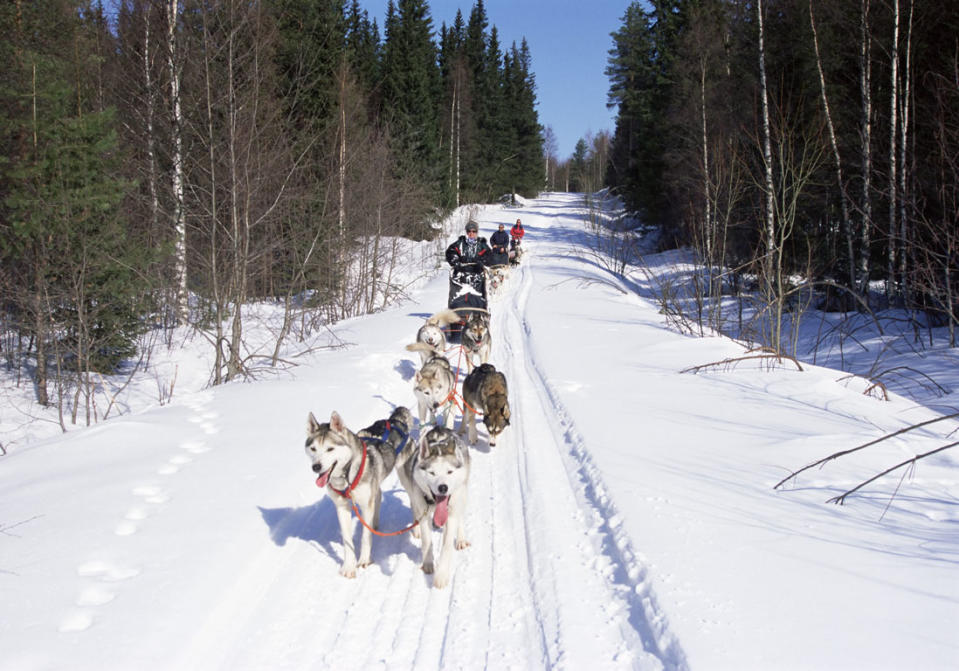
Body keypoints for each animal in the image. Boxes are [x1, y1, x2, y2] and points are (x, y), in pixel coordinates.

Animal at [308, 406, 412, 580]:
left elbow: (365, 536)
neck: (347, 475)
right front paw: (349, 567)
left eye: (330, 449)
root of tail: (394, 420)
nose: (316, 467)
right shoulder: (342, 507)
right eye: (313, 449)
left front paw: (364, 560)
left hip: (405, 476)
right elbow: (347, 540)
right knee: (378, 495)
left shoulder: (364, 505)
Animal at [396, 426, 470, 588]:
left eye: (449, 472)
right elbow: (427, 540)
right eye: (432, 473)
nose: (443, 487)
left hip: (462, 492)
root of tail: (439, 428)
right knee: (414, 507)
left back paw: (461, 538)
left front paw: (441, 575)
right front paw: (428, 563)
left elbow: (447, 545)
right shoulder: (423, 513)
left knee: (460, 515)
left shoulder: (451, 514)